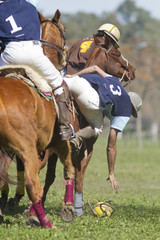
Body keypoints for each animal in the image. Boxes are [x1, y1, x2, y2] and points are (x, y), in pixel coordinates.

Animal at [0, 10, 74, 229]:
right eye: (64, 30)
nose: (65, 60)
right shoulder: (60, 141)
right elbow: (69, 169)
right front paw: (68, 207)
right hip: (26, 147)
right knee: (33, 183)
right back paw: (46, 223)